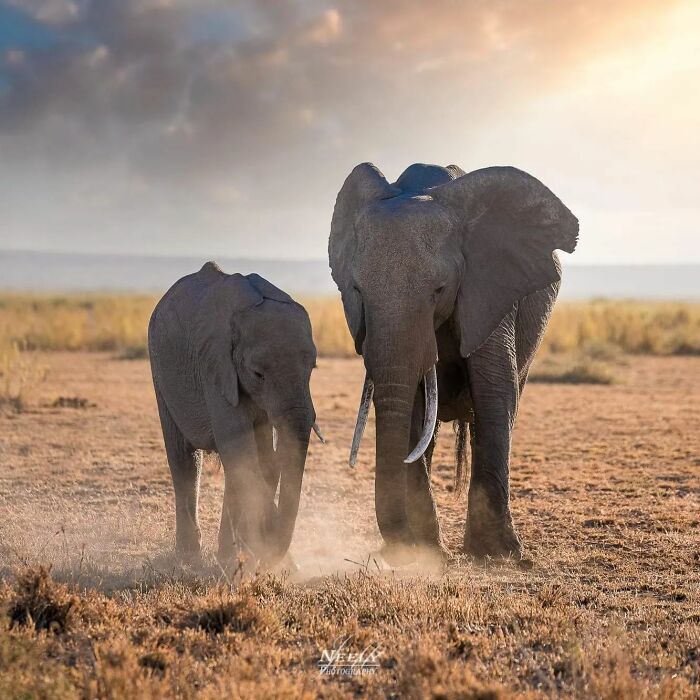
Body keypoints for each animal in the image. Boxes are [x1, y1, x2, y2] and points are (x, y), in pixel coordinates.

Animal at [148, 262, 322, 566]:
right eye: (258, 374)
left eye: (312, 368)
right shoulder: (215, 368)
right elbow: (239, 448)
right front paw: (271, 556)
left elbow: (259, 459)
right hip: (160, 369)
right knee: (184, 460)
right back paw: (189, 558)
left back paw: (225, 556)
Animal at [329, 163, 578, 562]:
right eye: (357, 291)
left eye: (440, 290)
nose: (397, 548)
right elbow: (413, 405)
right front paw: (425, 552)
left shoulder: (489, 289)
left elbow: (495, 390)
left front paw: (499, 554)